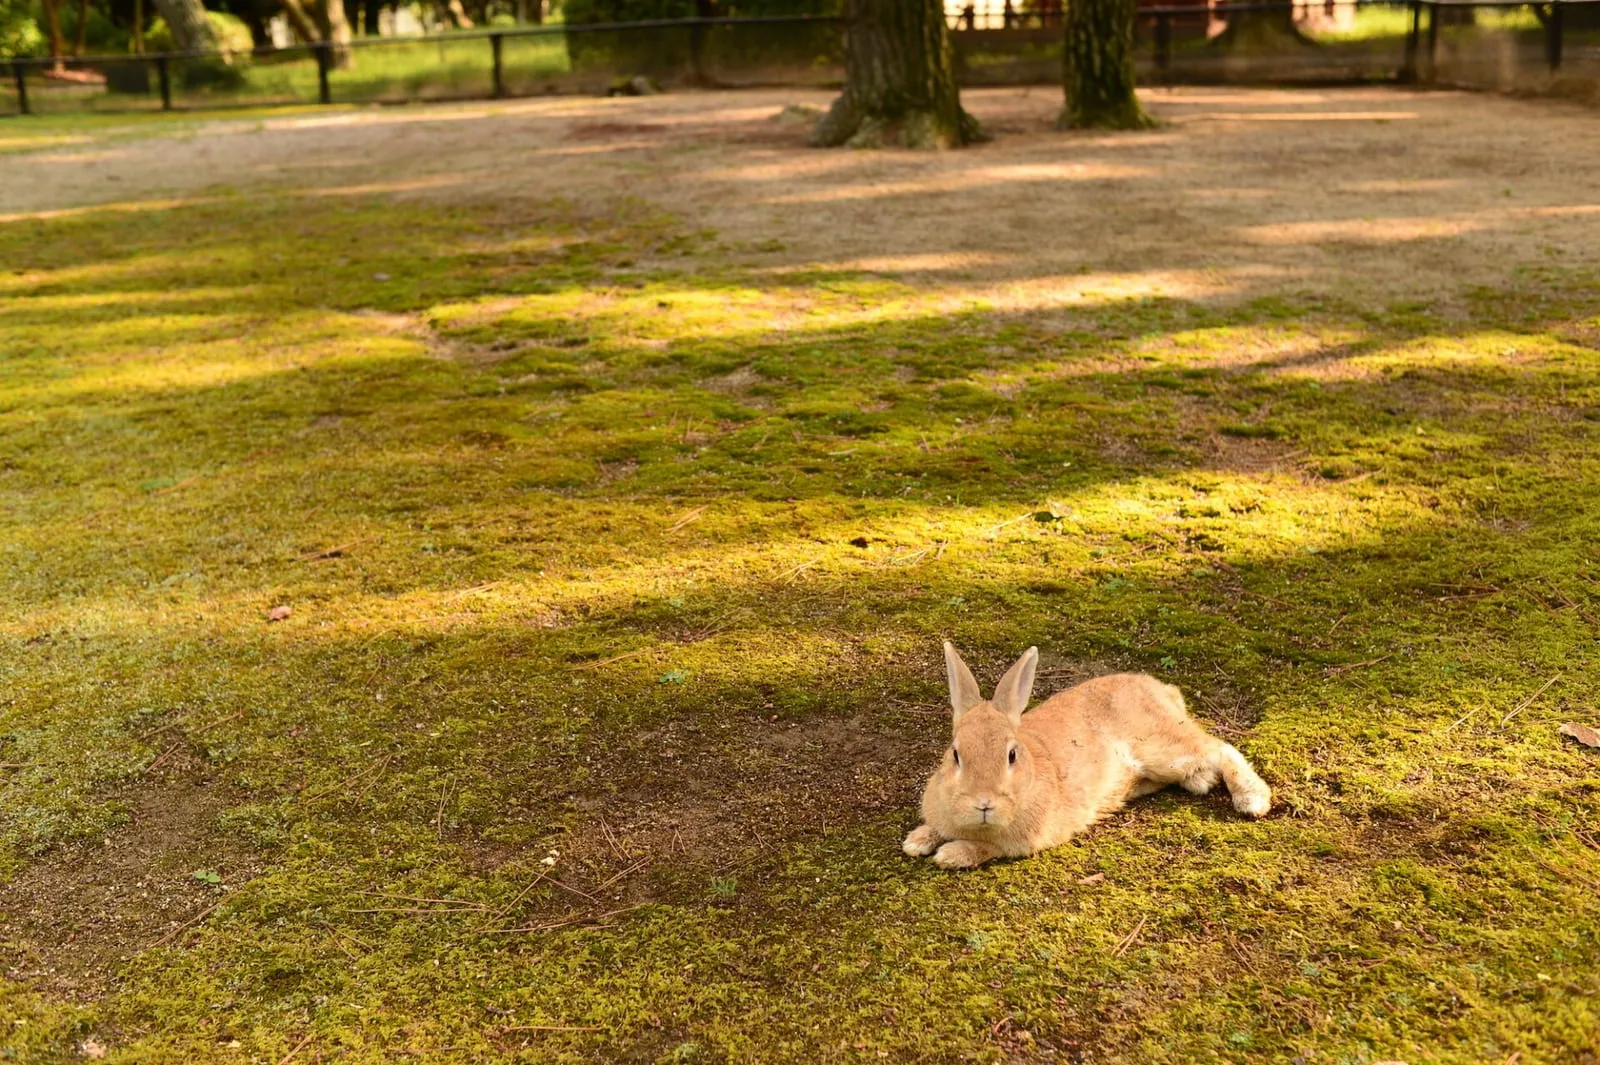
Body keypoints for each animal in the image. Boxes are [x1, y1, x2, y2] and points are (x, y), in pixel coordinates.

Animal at [903, 642, 1272, 870]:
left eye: (1011, 755)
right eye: (955, 754)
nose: (984, 803)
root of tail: (1163, 691)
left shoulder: (1022, 841)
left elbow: (985, 848)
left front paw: (950, 854)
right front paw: (917, 841)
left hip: (1163, 747)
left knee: (1221, 749)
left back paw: (1252, 799)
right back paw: (1201, 781)